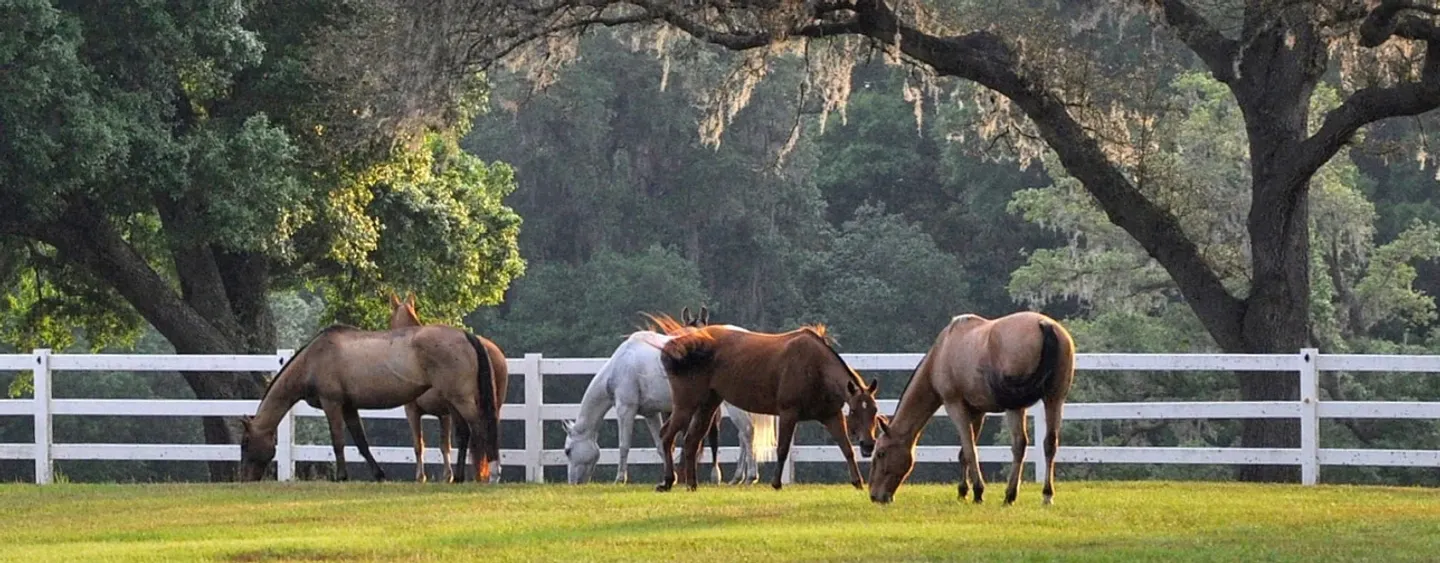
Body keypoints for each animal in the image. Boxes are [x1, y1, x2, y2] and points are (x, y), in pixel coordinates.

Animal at [388, 293, 512, 483]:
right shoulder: (445, 414)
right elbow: (445, 445)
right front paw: (448, 476)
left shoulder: (412, 410)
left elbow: (419, 444)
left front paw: (421, 477)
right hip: (489, 405)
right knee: (485, 432)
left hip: (462, 404)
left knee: (475, 430)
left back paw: (479, 474)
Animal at [561, 308, 777, 483]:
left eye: (568, 451)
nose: (573, 483)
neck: (620, 364)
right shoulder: (651, 413)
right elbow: (661, 444)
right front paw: (671, 476)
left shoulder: (625, 409)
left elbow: (624, 445)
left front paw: (620, 478)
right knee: (744, 435)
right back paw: (738, 477)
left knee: (747, 431)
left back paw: (750, 476)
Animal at [650, 316, 875, 495]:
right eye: (855, 411)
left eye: (874, 411)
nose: (869, 445)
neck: (815, 367)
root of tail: (675, 347)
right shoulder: (788, 414)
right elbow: (782, 449)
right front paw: (776, 483)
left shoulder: (831, 415)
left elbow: (846, 448)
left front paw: (858, 481)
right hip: (685, 405)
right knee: (667, 437)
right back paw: (668, 482)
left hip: (707, 405)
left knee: (691, 441)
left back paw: (691, 484)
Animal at [864, 312, 1071, 506]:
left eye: (881, 453)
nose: (874, 496)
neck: (941, 352)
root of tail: (1044, 324)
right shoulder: (978, 411)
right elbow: (964, 452)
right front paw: (963, 491)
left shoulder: (955, 405)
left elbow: (970, 449)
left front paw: (978, 492)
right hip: (1054, 399)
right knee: (1049, 444)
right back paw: (1046, 494)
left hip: (1015, 406)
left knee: (1019, 444)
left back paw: (1010, 495)